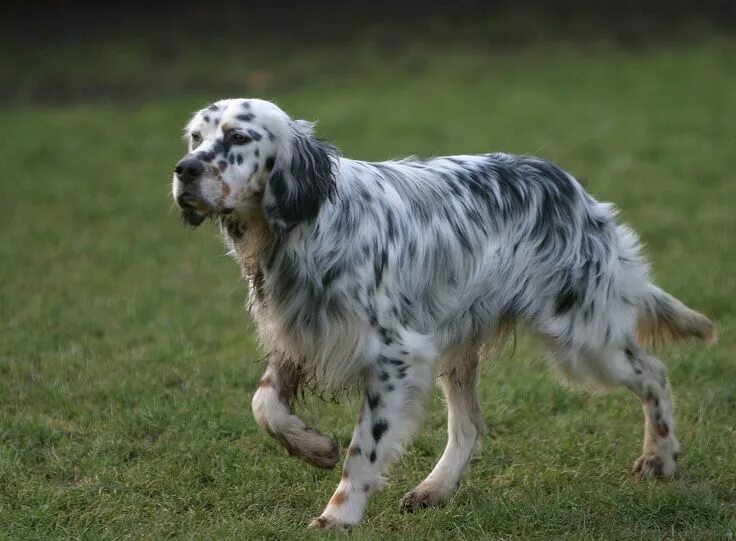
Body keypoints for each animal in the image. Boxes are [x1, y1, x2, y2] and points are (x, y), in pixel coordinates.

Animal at [171, 97, 712, 528]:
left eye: (238, 137)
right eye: (196, 136)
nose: (184, 170)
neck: (301, 228)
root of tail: (576, 192)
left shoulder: (396, 357)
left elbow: (364, 450)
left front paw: (339, 515)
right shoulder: (298, 335)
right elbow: (264, 404)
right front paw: (313, 446)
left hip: (582, 337)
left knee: (654, 372)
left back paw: (661, 457)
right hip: (461, 343)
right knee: (469, 426)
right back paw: (436, 488)